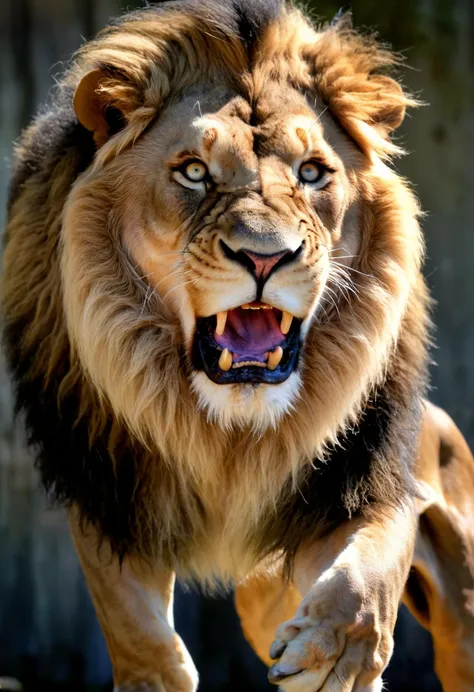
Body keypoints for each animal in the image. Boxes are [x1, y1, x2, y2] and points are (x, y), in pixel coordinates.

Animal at [2, 0, 474, 688]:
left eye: (313, 173)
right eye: (194, 172)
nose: (266, 256)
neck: (232, 437)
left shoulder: (362, 481)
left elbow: (367, 574)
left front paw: (336, 657)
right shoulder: (108, 496)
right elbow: (136, 628)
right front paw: (157, 675)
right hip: (262, 596)